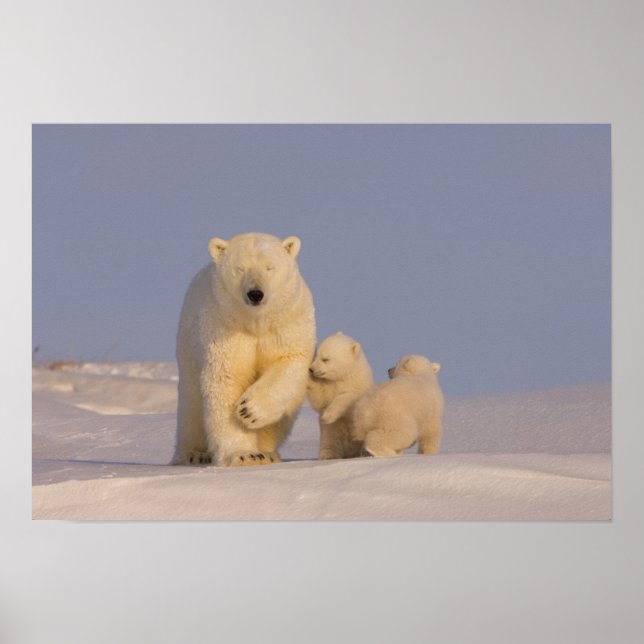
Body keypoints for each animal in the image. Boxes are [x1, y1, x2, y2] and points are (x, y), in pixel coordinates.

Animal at [171, 232, 316, 467]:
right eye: (239, 269)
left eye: (269, 267)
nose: (255, 294)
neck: (255, 323)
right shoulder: (225, 326)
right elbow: (228, 379)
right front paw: (245, 455)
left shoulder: (287, 322)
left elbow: (289, 361)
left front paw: (249, 410)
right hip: (188, 346)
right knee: (191, 406)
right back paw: (193, 454)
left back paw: (268, 452)